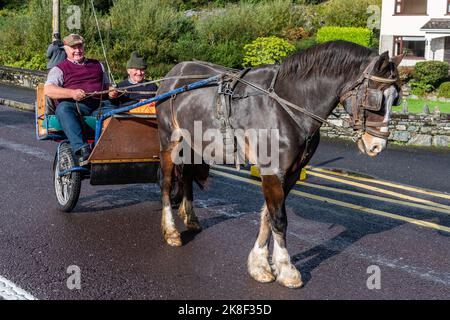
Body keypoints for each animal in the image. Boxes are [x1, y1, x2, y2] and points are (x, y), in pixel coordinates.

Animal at [156, 40, 404, 288]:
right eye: (375, 98)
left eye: (396, 99)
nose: (377, 145)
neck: (286, 104)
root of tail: (173, 74)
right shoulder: (272, 171)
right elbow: (279, 219)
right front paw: (286, 268)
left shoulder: (291, 173)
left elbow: (268, 216)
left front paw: (260, 263)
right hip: (169, 141)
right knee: (167, 184)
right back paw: (171, 231)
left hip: (191, 144)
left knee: (186, 176)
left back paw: (190, 218)